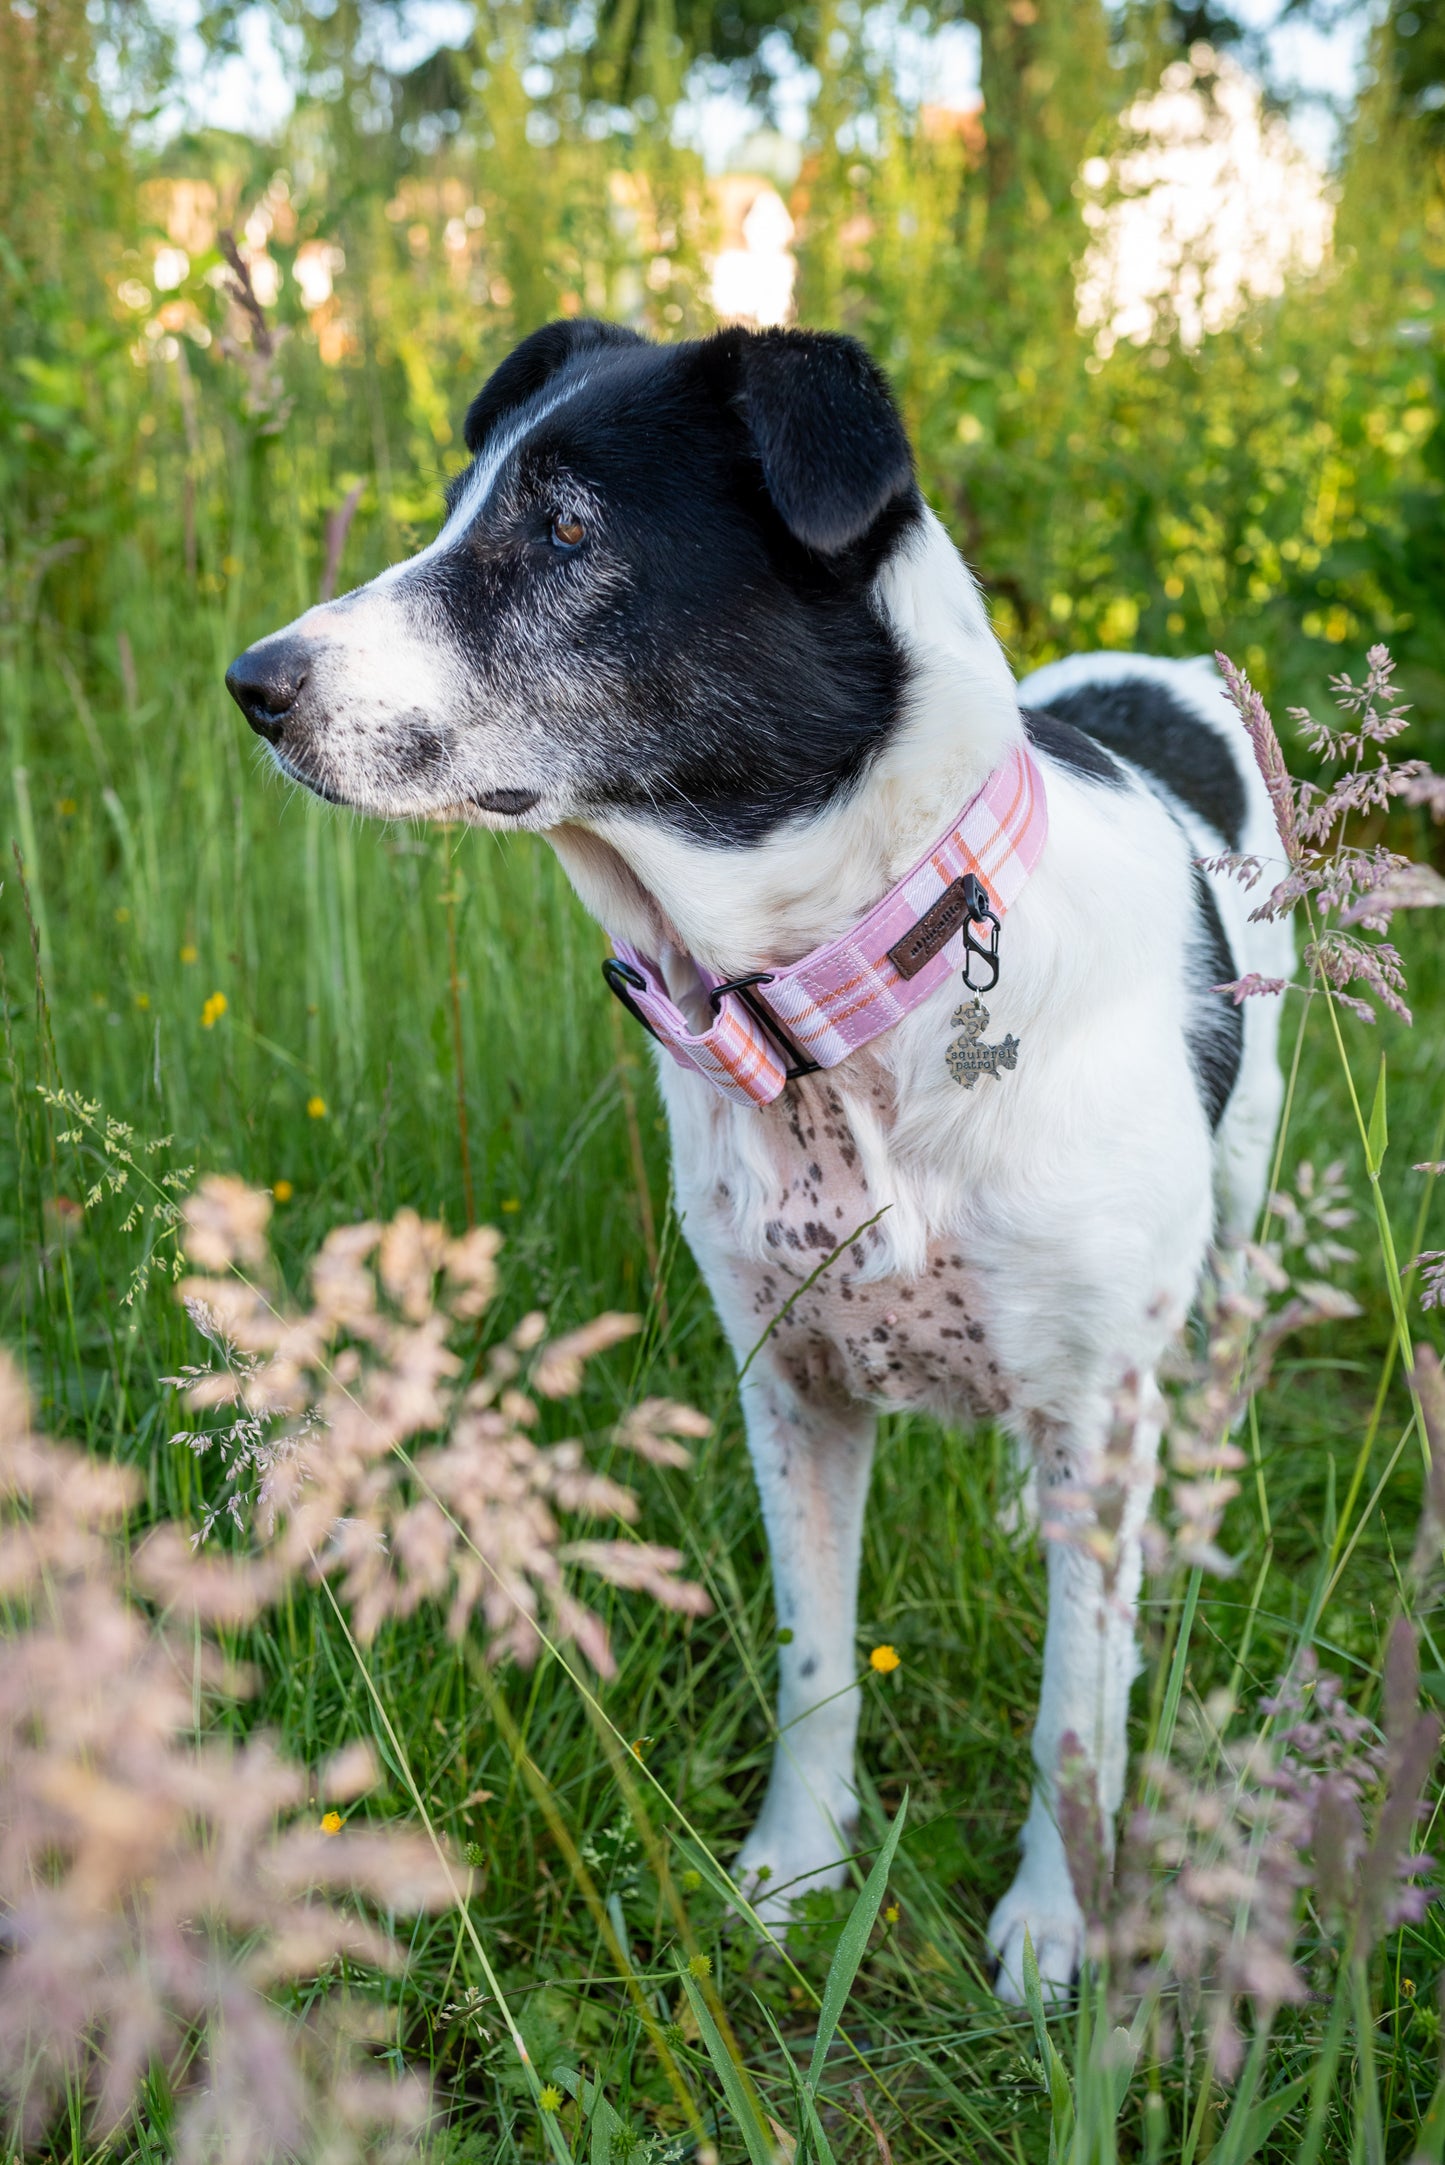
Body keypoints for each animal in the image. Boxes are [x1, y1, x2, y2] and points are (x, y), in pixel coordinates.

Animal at [226, 320, 1291, 1991]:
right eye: (457, 507)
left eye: (567, 531)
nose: (251, 685)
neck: (840, 1009)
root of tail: (1165, 668)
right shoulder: (788, 1382)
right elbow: (814, 1658)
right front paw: (798, 1873)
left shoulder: (1089, 1392)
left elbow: (1075, 1711)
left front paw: (1056, 1926)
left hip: (1236, 1201)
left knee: (1217, 1358)